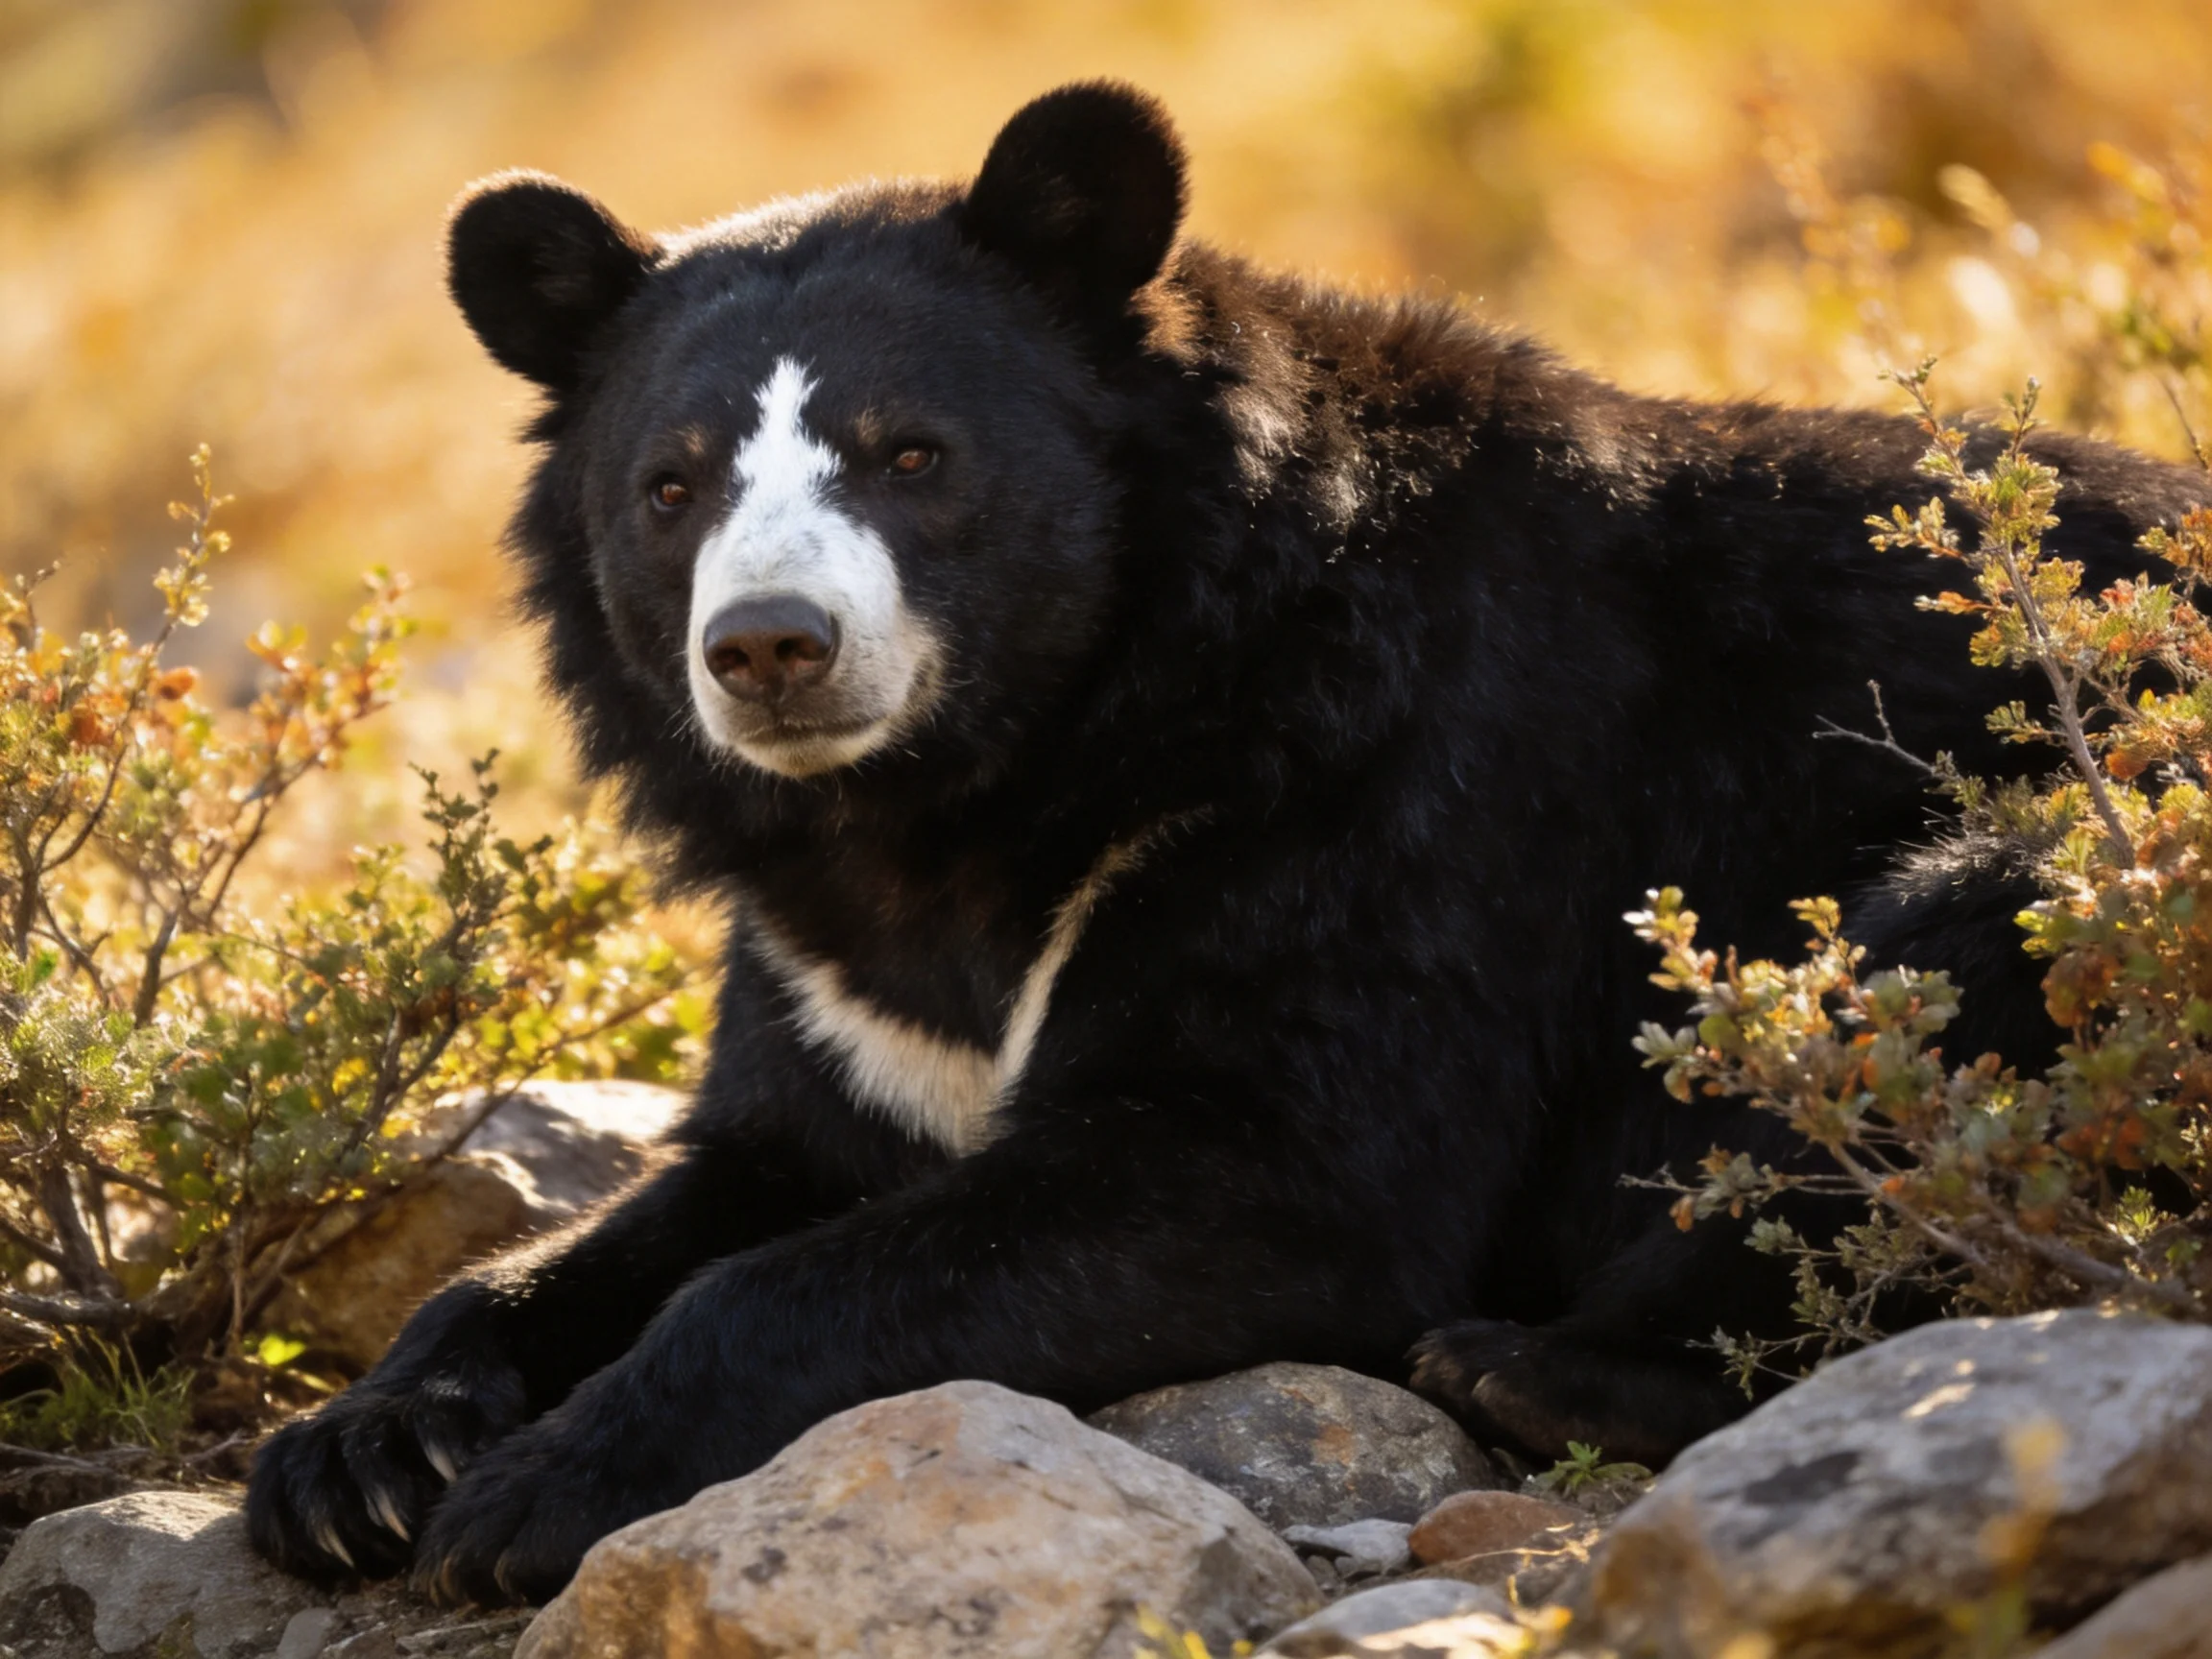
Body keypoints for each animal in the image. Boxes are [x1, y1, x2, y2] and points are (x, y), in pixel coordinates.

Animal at [245, 81, 2210, 1605]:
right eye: (670, 487)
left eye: (910, 455)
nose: (771, 648)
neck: (988, 773)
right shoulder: (829, 986)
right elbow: (722, 1182)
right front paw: (354, 1459)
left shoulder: (1387, 804)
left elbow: (1275, 1165)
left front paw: (533, 1495)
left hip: (2046, 866)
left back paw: (1533, 1369)